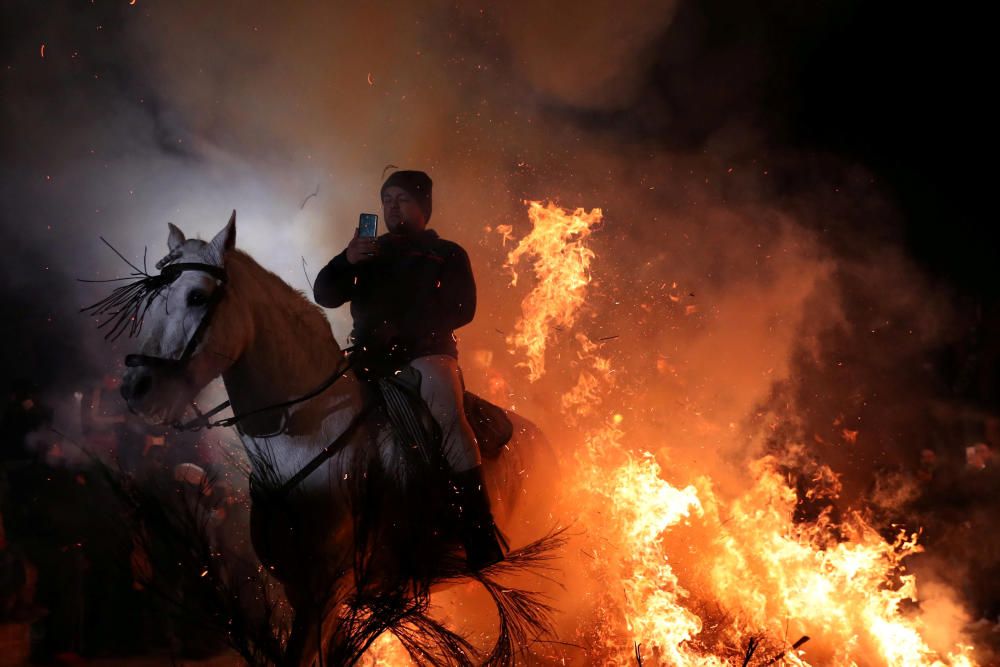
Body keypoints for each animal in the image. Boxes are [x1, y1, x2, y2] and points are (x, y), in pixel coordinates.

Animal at [96, 214, 560, 667]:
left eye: (197, 296)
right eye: (154, 299)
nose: (137, 389)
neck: (308, 438)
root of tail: (543, 439)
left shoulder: (324, 595)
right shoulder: (303, 593)